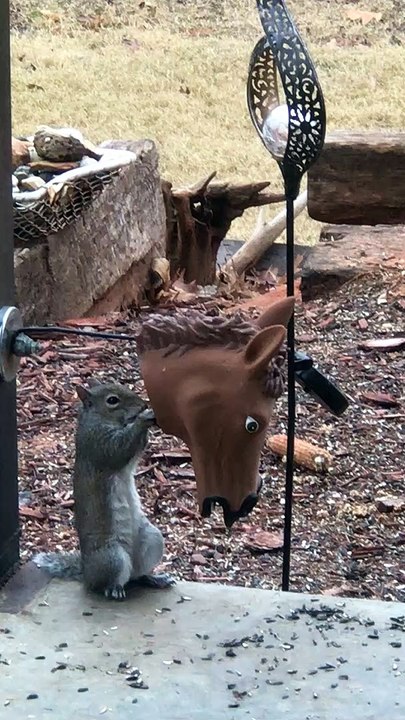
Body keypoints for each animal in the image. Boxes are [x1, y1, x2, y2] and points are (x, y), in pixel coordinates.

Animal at [33, 381, 174, 600]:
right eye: (112, 400)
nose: (143, 404)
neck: (100, 419)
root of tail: (87, 573)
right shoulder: (98, 443)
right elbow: (119, 448)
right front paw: (144, 418)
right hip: (112, 557)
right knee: (105, 584)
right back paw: (114, 589)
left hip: (152, 540)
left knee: (137, 576)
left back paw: (154, 578)